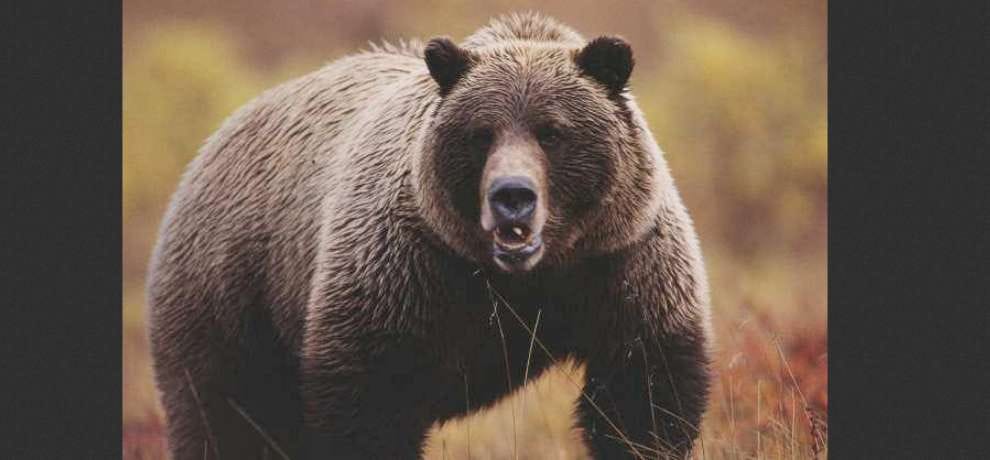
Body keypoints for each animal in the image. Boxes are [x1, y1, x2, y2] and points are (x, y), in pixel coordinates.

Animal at [147, 11, 712, 460]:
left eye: (552, 131)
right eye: (481, 134)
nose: (512, 194)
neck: (522, 278)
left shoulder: (620, 262)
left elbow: (641, 397)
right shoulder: (405, 270)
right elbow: (372, 405)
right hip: (232, 291)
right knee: (226, 414)